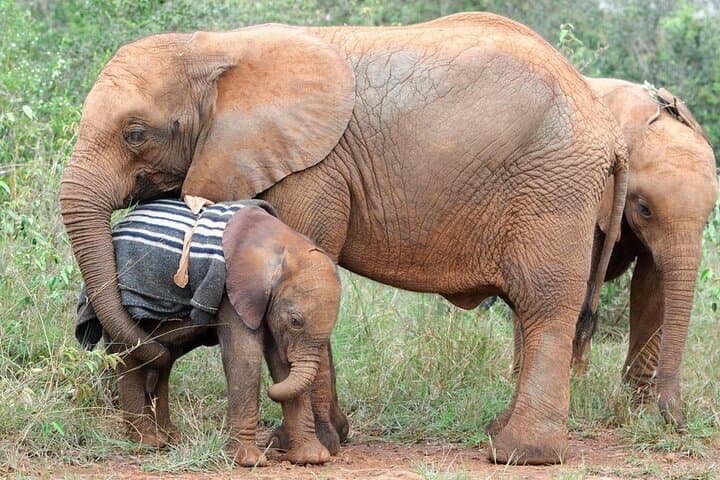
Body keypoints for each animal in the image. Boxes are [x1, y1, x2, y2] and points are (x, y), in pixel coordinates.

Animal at [75, 203, 342, 465]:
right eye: (295, 321)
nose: (270, 393)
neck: (283, 243)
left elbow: (280, 363)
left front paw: (312, 458)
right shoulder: (232, 289)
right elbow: (245, 356)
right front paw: (249, 461)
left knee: (162, 361)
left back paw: (169, 437)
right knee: (132, 357)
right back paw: (148, 443)